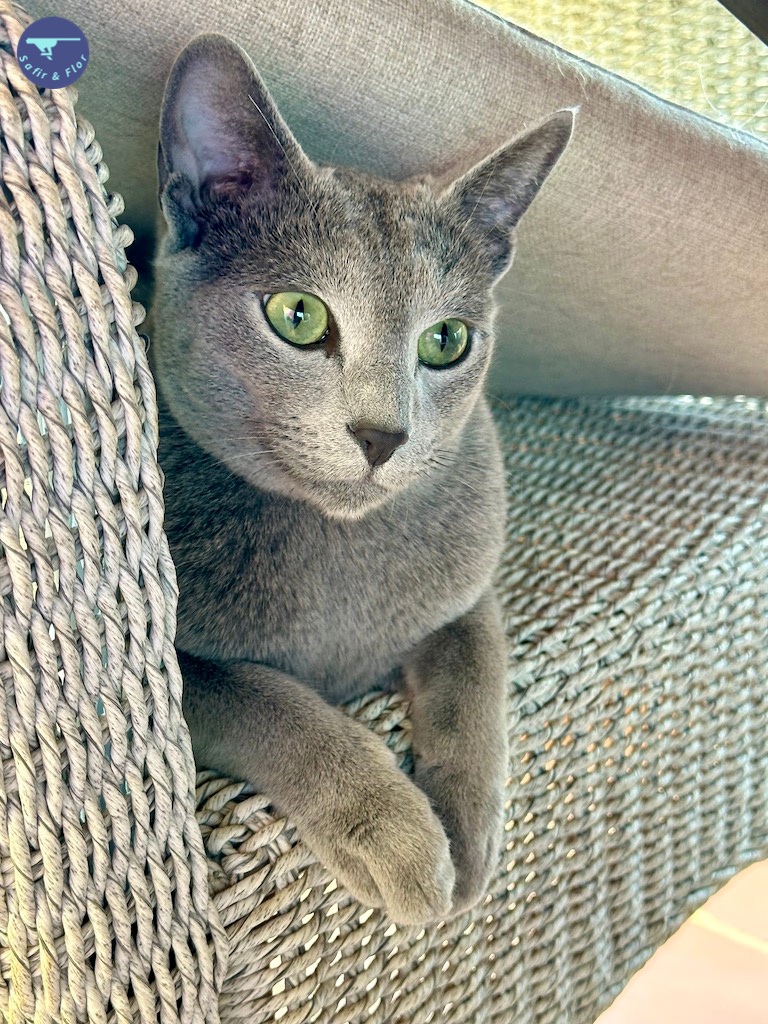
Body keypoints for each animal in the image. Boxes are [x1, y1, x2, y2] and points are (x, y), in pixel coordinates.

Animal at [150, 32, 573, 925]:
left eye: (446, 341)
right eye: (297, 315)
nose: (383, 435)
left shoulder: (470, 587)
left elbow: (476, 678)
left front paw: (467, 832)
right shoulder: (175, 674)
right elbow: (270, 701)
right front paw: (399, 838)